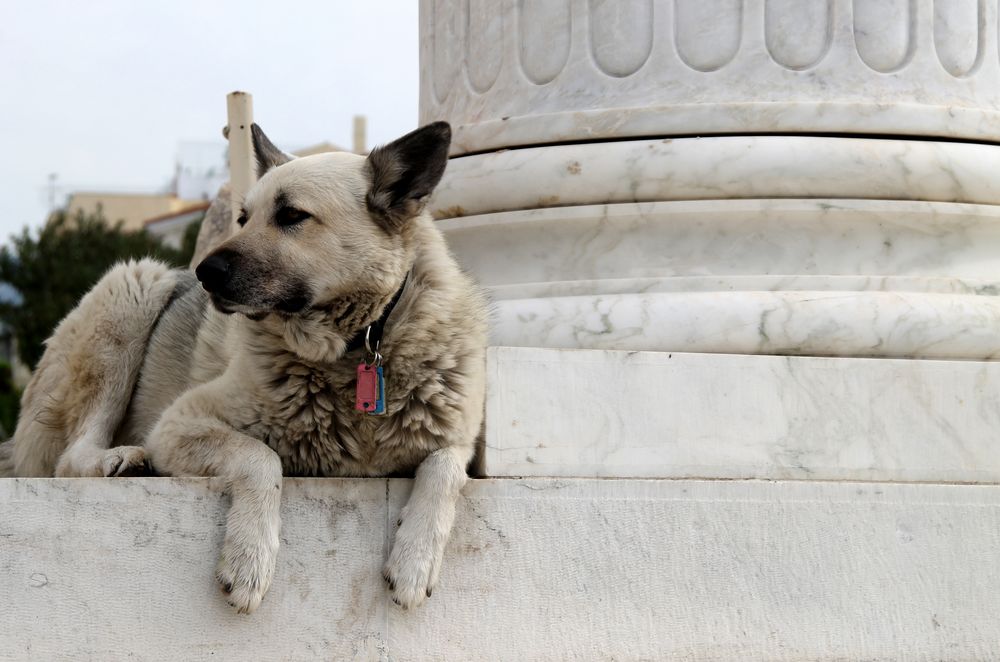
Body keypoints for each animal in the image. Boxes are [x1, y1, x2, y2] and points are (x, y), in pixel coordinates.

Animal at [3, 122, 488, 616]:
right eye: (243, 218)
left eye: (291, 215)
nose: (204, 272)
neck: (357, 346)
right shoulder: (178, 425)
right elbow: (260, 457)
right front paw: (249, 559)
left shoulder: (456, 440)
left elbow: (446, 469)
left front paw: (415, 560)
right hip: (137, 286)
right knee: (69, 458)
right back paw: (118, 459)